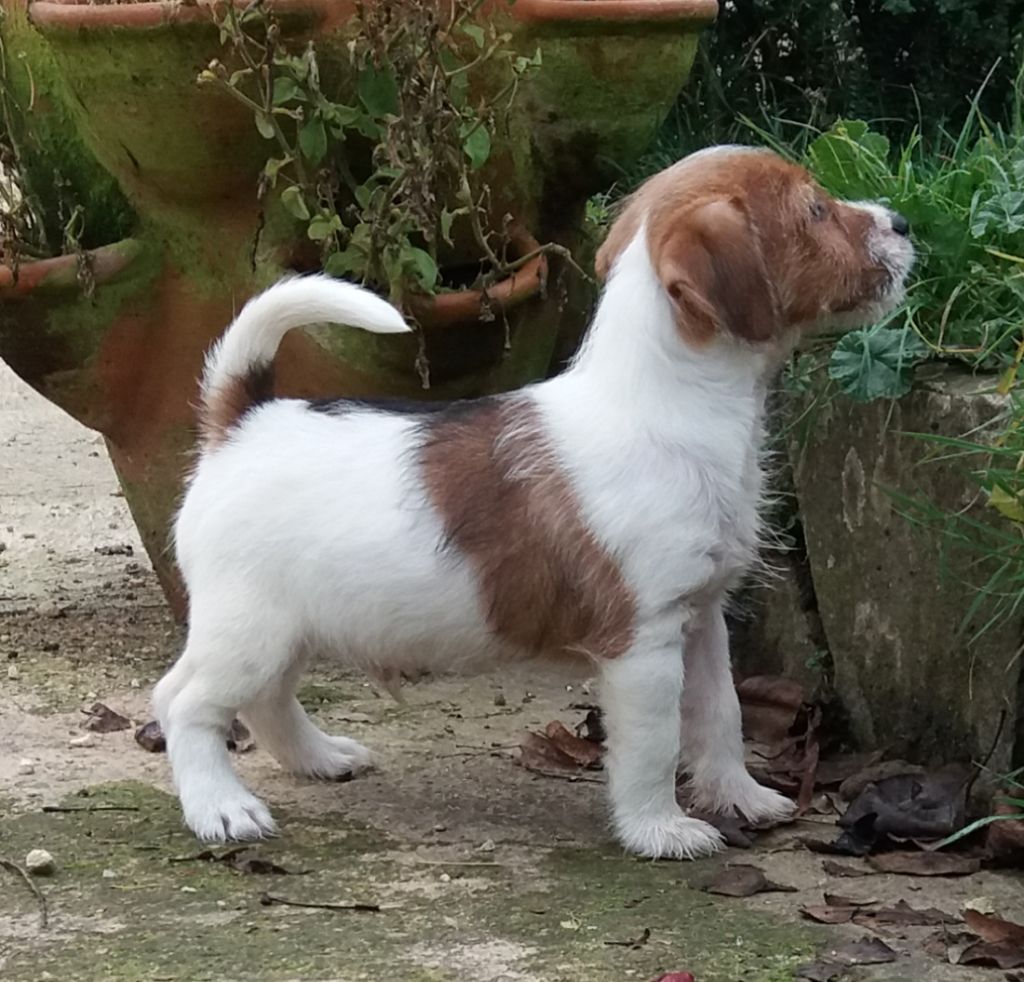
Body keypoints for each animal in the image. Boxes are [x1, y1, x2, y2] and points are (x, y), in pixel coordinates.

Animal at [149, 145, 913, 860]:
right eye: (815, 210)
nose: (903, 221)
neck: (669, 403)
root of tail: (241, 421)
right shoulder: (644, 642)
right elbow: (654, 744)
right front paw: (658, 828)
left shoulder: (702, 620)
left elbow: (720, 717)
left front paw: (742, 796)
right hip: (253, 628)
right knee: (188, 704)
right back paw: (221, 808)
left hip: (282, 628)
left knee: (246, 697)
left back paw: (318, 758)